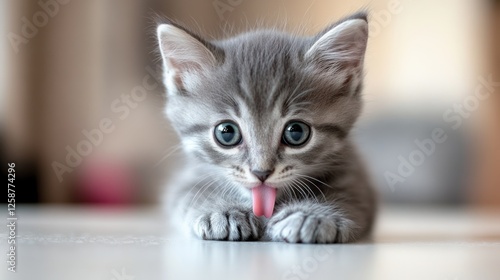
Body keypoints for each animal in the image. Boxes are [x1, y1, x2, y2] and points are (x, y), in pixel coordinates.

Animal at [156, 11, 376, 243]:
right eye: (227, 133)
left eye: (296, 132)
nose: (261, 172)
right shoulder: (189, 176)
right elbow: (188, 194)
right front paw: (224, 211)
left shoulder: (355, 176)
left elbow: (349, 195)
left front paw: (310, 215)